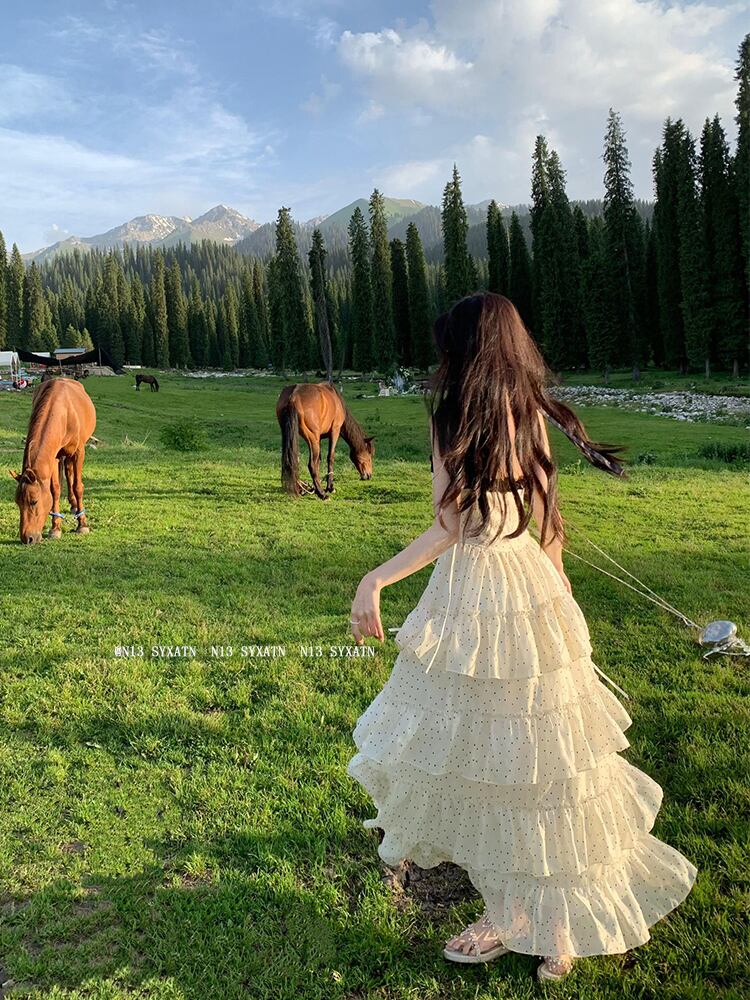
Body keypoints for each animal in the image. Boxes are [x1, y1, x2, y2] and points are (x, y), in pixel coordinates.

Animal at [9, 378, 97, 544]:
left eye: (34, 501)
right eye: (17, 502)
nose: (27, 538)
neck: (63, 412)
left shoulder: (79, 452)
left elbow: (78, 486)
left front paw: (82, 524)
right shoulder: (54, 456)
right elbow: (54, 489)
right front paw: (55, 528)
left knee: (70, 473)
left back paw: (75, 506)